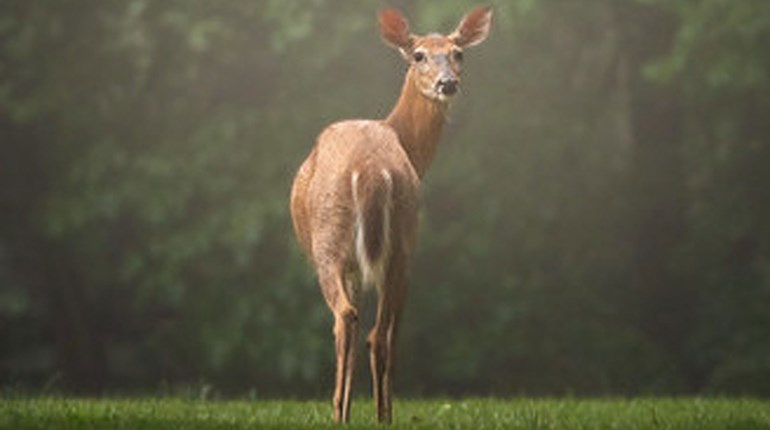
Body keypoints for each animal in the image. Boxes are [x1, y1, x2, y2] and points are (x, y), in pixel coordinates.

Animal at [290, 5, 492, 424]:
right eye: (419, 55)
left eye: (458, 53)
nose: (448, 83)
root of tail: (369, 170)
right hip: (398, 242)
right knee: (373, 331)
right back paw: (372, 414)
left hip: (335, 241)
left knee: (351, 321)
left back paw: (347, 413)